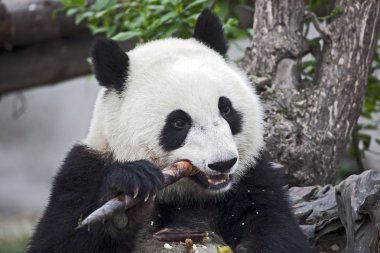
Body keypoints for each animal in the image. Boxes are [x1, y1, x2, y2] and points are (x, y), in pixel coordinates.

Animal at [27, 8, 312, 253]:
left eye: (226, 109)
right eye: (179, 123)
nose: (223, 163)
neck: (182, 195)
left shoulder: (252, 177)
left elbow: (277, 229)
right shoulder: (83, 170)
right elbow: (58, 238)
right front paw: (126, 198)